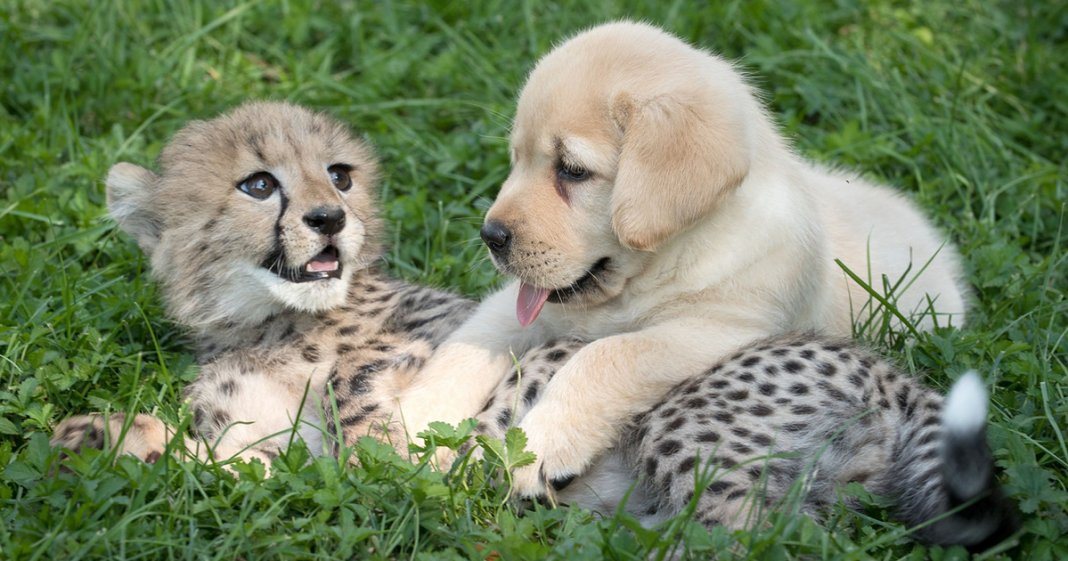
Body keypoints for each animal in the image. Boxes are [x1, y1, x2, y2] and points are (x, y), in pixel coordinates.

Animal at [393, 20, 969, 493]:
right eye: (516, 159)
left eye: (572, 170)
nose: (490, 235)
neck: (660, 265)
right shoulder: (531, 304)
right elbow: (468, 343)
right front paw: (407, 422)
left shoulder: (719, 330)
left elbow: (607, 356)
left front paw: (543, 444)